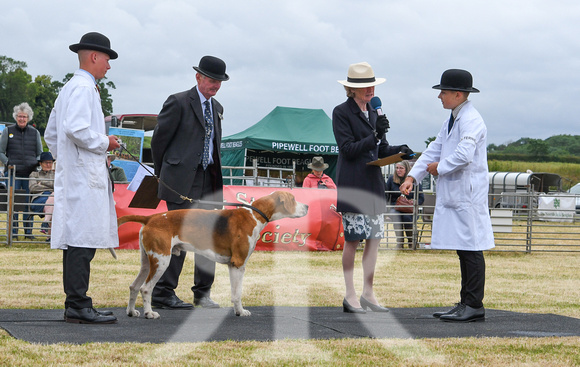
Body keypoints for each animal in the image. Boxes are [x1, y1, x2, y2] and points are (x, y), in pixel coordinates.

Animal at [118, 191, 308, 320]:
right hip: (161, 261)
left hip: (147, 262)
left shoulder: (233, 265)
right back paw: (149, 313)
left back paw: (131, 311)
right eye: (293, 199)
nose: (307, 206)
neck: (255, 214)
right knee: (145, 288)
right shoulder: (238, 264)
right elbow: (238, 293)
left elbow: (234, 292)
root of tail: (150, 218)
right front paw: (241, 311)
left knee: (134, 287)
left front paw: (237, 311)